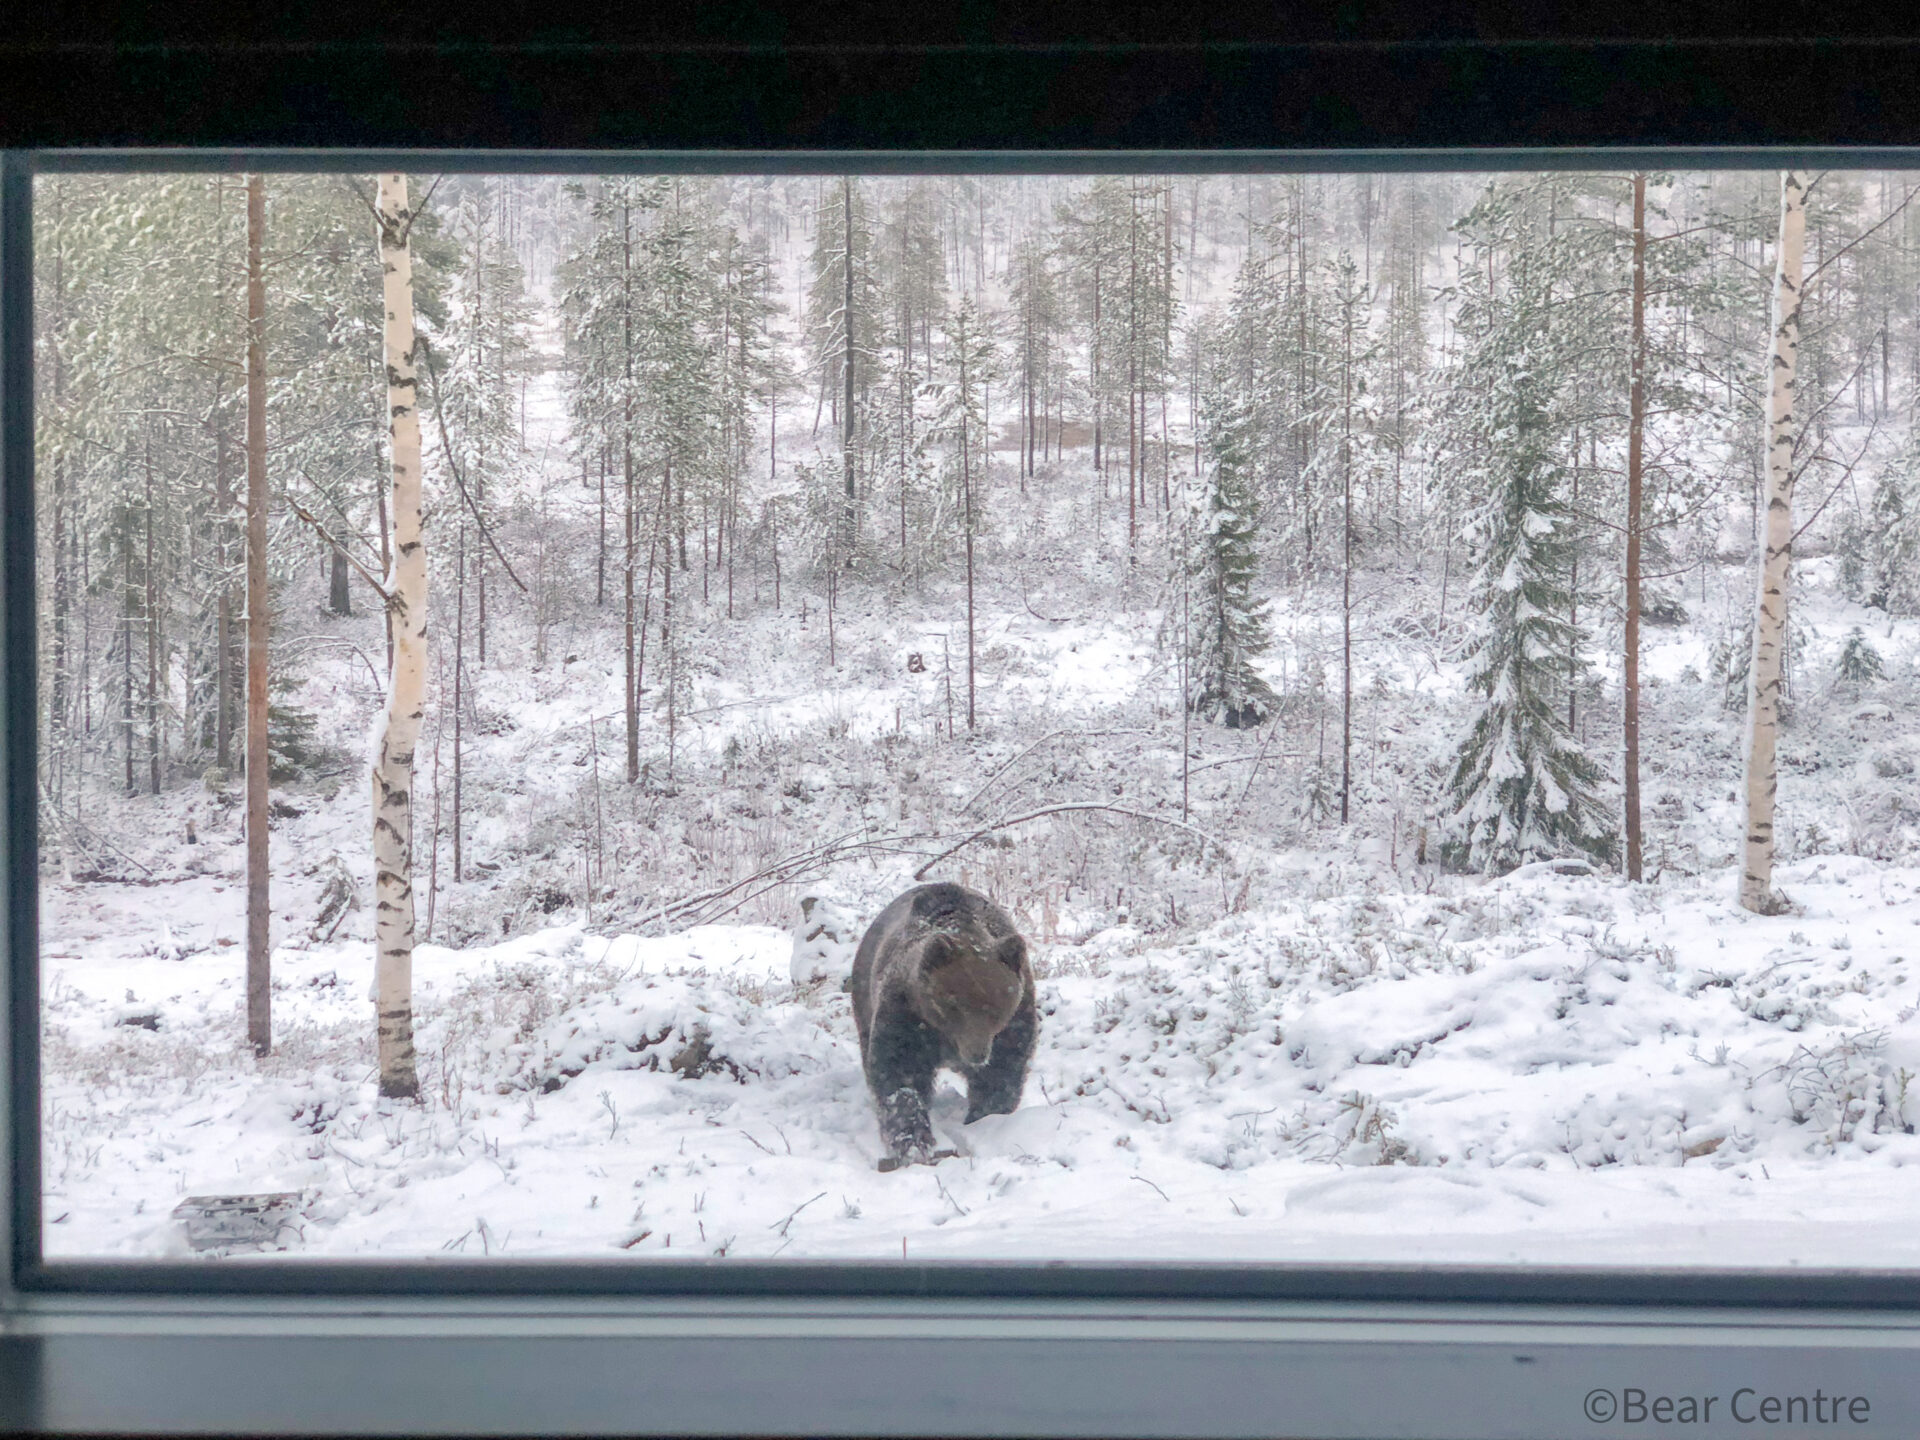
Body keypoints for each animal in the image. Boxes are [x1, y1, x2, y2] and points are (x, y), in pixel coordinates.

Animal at [852, 879, 1036, 1175]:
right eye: (954, 1002)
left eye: (996, 1005)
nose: (977, 1054)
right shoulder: (906, 1014)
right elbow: (899, 1074)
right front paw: (914, 1142)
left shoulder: (1014, 1022)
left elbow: (1003, 1072)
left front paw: (984, 1117)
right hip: (864, 994)